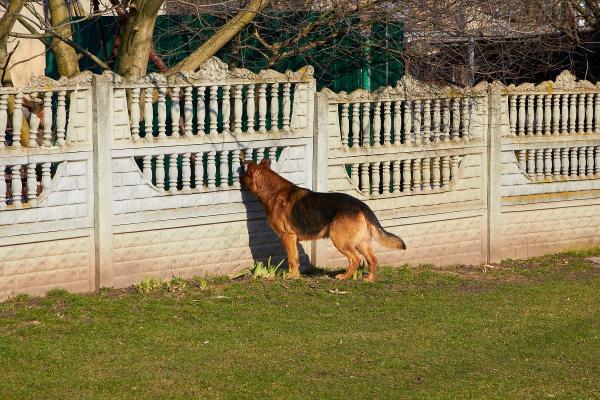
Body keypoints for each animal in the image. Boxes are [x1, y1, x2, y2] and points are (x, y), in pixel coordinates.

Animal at [240, 158, 408, 282]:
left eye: (244, 174)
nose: (237, 179)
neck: (272, 192)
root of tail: (361, 205)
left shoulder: (288, 237)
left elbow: (292, 259)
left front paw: (292, 276)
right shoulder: (292, 239)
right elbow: (295, 258)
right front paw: (296, 276)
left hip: (339, 239)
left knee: (355, 259)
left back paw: (344, 277)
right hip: (360, 242)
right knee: (372, 259)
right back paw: (370, 279)